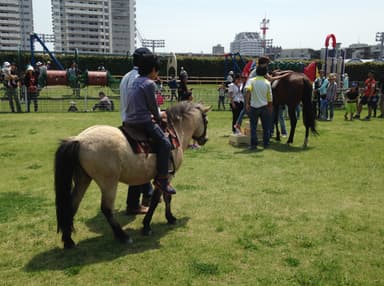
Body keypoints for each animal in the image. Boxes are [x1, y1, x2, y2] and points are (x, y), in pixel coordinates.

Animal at [54, 101, 210, 248]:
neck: (176, 131)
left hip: (83, 180)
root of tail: (79, 139)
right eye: (206, 121)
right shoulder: (166, 177)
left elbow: (165, 198)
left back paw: (68, 240)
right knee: (106, 209)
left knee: (72, 205)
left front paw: (169, 218)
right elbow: (159, 199)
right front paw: (148, 225)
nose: (204, 140)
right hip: (108, 183)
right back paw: (122, 236)